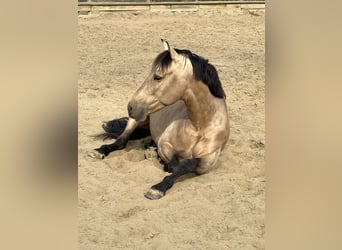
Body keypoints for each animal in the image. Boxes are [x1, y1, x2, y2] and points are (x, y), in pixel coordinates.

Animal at [88, 39, 230, 199]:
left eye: (157, 76)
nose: (130, 106)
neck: (199, 126)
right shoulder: (165, 144)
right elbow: (174, 165)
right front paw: (159, 183)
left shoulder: (208, 160)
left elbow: (186, 165)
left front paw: (159, 185)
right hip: (135, 120)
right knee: (121, 141)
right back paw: (99, 151)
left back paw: (150, 150)